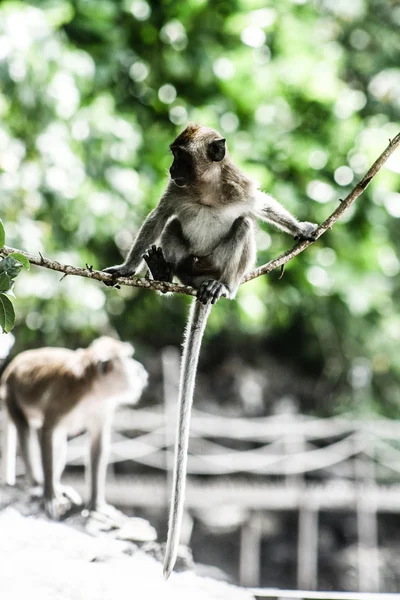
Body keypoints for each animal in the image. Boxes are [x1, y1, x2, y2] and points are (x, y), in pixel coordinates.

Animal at [0, 338, 147, 520]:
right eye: (128, 358)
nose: (140, 368)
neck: (94, 390)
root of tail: (11, 366)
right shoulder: (66, 397)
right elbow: (47, 431)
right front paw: (49, 494)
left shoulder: (104, 408)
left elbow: (97, 445)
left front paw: (96, 504)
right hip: (10, 394)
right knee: (25, 430)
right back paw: (38, 484)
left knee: (58, 441)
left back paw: (56, 485)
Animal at [104, 124, 318, 580]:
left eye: (181, 157)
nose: (171, 168)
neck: (205, 190)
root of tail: (199, 277)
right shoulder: (174, 194)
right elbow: (157, 219)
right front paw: (128, 268)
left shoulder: (239, 187)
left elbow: (261, 206)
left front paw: (302, 228)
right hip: (189, 260)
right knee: (171, 229)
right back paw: (165, 273)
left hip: (219, 264)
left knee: (243, 226)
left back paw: (223, 286)